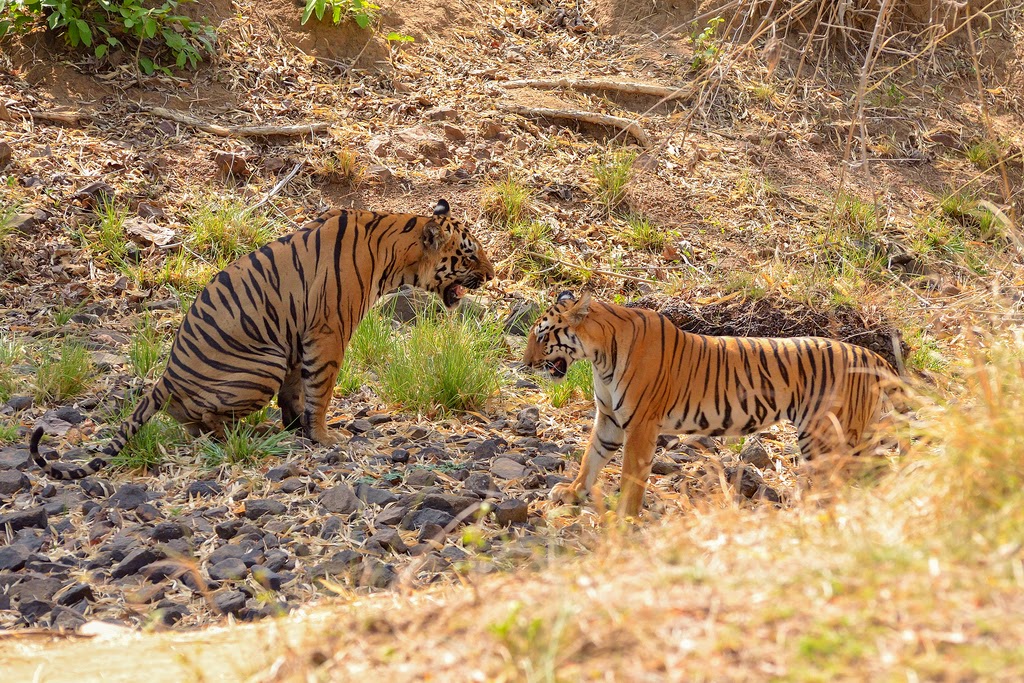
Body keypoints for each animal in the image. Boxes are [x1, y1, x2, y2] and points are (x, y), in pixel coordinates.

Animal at [32, 198, 495, 481]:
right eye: (470, 253)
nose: (493, 275)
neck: (394, 254)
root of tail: (168, 374)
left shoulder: (296, 337)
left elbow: (297, 391)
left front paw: (297, 427)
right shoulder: (327, 334)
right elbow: (320, 389)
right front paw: (324, 436)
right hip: (262, 362)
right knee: (210, 418)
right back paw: (247, 435)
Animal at [524, 290, 901, 518]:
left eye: (542, 336)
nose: (526, 363)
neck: (600, 355)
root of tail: (872, 356)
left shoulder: (641, 424)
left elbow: (631, 474)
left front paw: (625, 516)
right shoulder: (609, 420)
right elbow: (591, 458)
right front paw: (571, 493)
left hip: (826, 434)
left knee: (838, 480)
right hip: (855, 434)